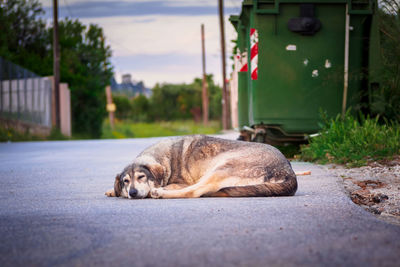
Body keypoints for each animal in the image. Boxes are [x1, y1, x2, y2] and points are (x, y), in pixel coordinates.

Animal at [104, 136, 298, 199]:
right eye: (125, 181)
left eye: (141, 177)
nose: (132, 193)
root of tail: (289, 171)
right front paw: (113, 190)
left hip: (221, 168)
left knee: (194, 191)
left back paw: (161, 193)